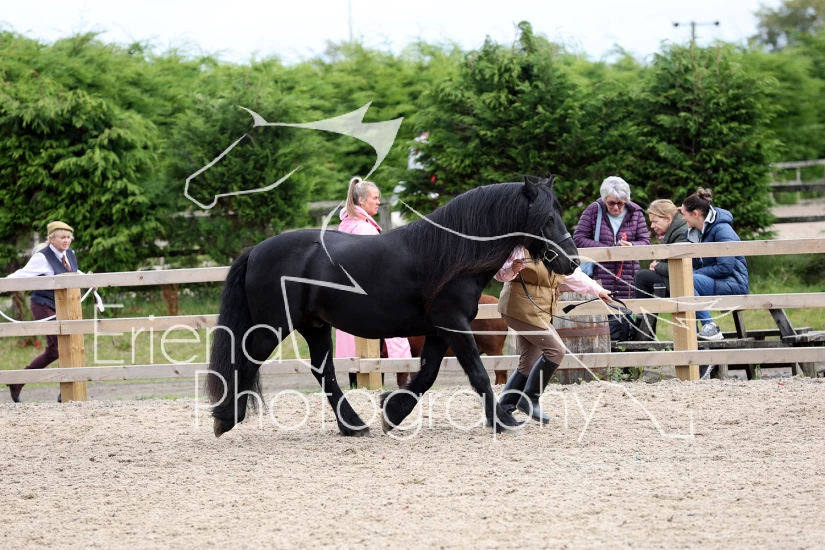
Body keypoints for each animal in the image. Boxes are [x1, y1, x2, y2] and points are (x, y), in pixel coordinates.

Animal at [205, 175, 579, 437]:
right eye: (547, 218)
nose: (571, 261)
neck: (450, 255)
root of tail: (256, 251)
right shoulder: (453, 324)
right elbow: (477, 374)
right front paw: (501, 420)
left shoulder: (439, 330)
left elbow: (426, 375)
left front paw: (393, 412)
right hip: (273, 327)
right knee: (246, 361)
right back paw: (226, 418)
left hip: (314, 326)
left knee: (323, 372)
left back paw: (353, 425)